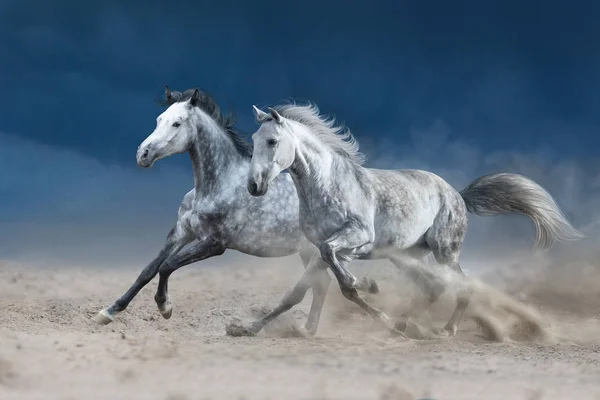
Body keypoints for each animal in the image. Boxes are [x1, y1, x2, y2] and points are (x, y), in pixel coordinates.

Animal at [92, 86, 380, 332]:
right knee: (322, 284)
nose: (143, 154)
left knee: (323, 283)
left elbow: (167, 265)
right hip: (310, 251)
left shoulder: (214, 243)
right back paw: (307, 329)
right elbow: (148, 270)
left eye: (177, 123)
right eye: (159, 119)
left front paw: (165, 307)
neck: (218, 184)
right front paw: (109, 311)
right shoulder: (181, 232)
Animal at [232, 102, 584, 338]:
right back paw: (406, 323)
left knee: (462, 285)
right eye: (255, 139)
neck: (326, 184)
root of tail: (457, 194)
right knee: (432, 287)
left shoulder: (353, 238)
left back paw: (445, 329)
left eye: (272, 141)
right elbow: (299, 292)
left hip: (445, 251)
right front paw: (246, 329)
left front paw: (368, 287)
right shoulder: (321, 249)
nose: (254, 185)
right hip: (406, 255)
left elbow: (344, 281)